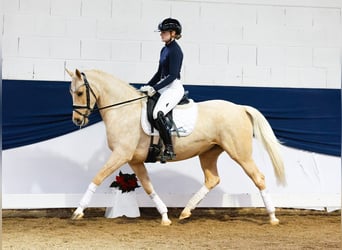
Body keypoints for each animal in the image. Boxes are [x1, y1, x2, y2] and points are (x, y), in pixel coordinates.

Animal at [67, 69, 286, 227]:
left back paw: (273, 217)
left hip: (240, 153)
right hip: (208, 153)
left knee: (258, 178)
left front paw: (78, 211)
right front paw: (165, 217)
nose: (77, 120)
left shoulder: (121, 155)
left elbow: (97, 177)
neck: (124, 110)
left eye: (80, 92)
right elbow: (148, 187)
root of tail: (240, 108)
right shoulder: (135, 160)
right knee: (212, 179)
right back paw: (186, 211)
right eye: (71, 92)